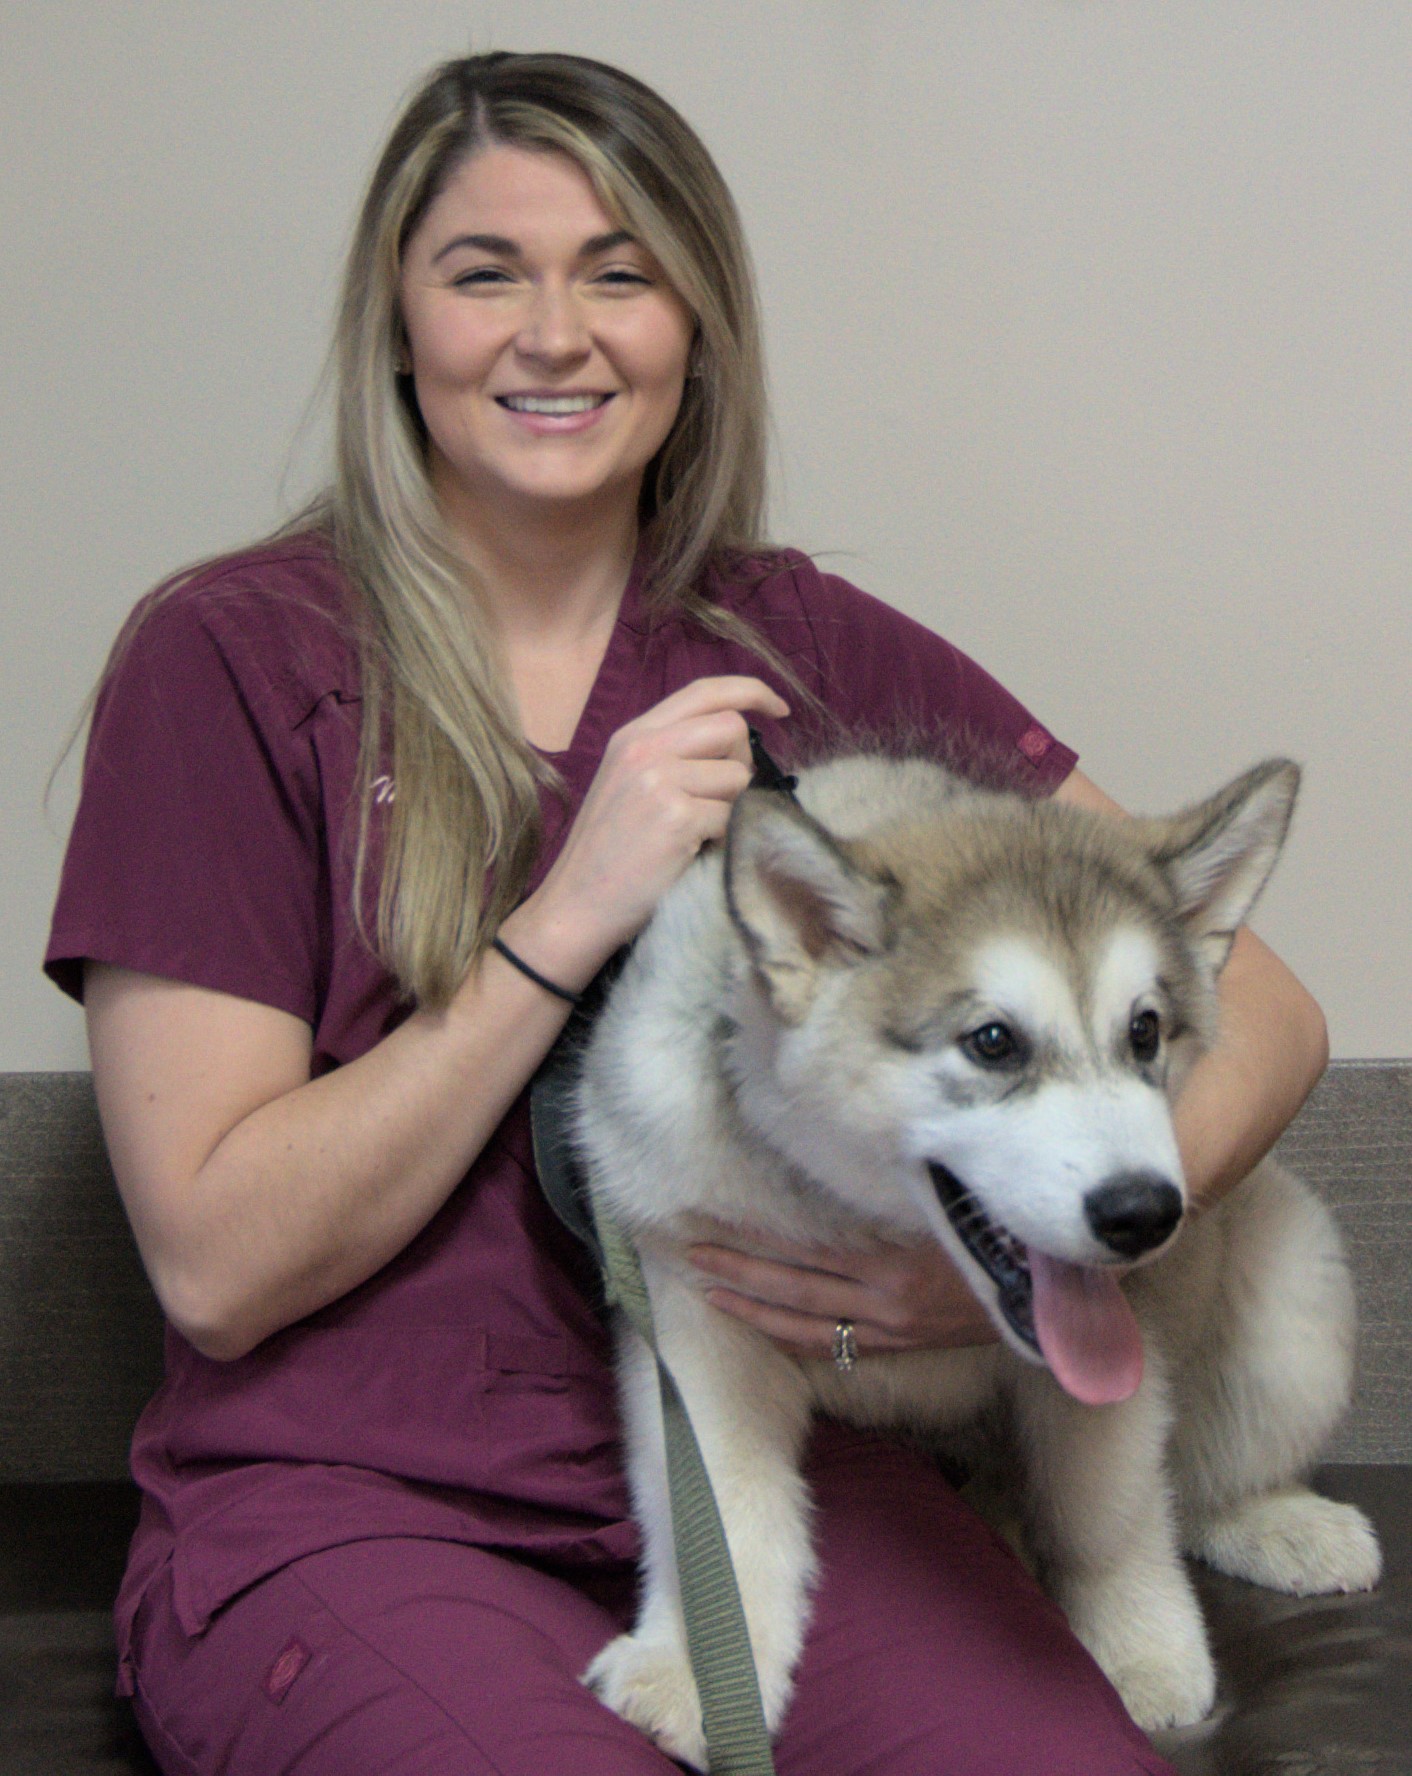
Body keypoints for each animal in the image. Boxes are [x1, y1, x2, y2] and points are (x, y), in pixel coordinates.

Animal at [571, 749, 1378, 1761]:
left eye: (1145, 1031)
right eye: (993, 1042)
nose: (1145, 1213)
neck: (861, 1217)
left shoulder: (1123, 1348)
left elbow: (1107, 1510)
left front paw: (1141, 1647)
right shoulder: (692, 1326)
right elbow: (723, 1513)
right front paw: (696, 1669)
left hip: (1296, 1276)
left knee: (1200, 1479)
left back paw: (1274, 1521)